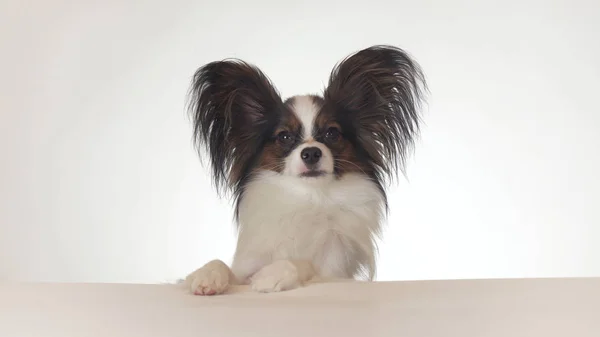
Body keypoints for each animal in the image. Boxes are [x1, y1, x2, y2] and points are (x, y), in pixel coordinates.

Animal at [184, 44, 426, 294]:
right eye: (284, 136)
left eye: (332, 133)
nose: (311, 152)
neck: (309, 198)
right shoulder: (245, 270)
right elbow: (222, 265)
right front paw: (206, 274)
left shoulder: (333, 273)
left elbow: (303, 264)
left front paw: (271, 275)